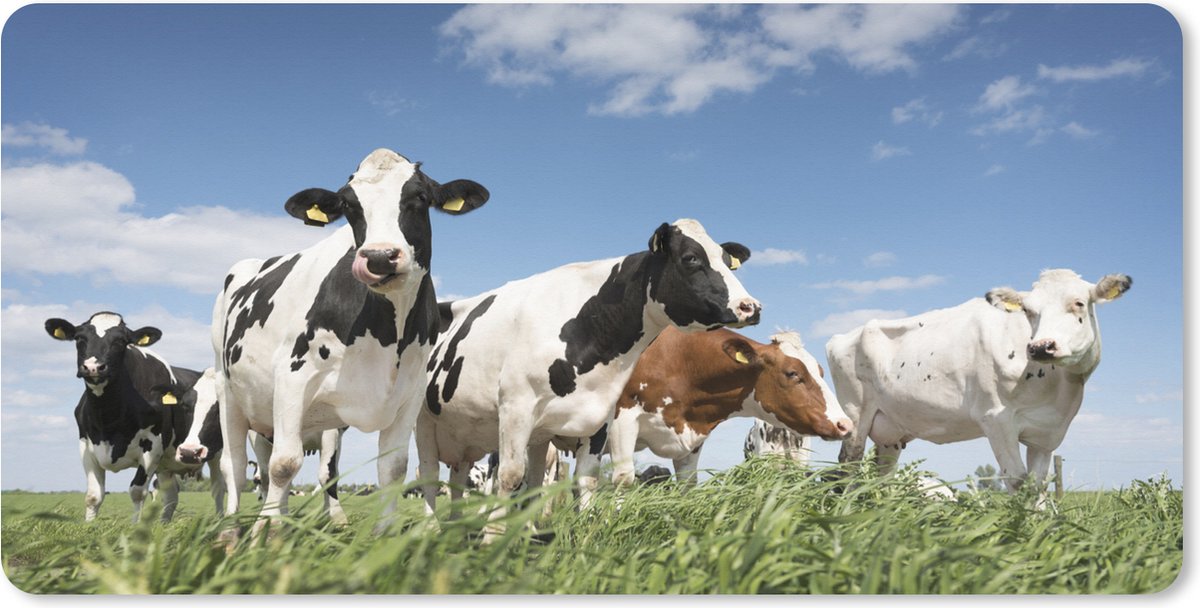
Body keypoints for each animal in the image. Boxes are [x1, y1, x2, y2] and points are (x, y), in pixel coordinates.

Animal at [45, 312, 224, 522]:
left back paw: (221, 521)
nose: (93, 367)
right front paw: (89, 526)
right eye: (80, 338)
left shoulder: (152, 448)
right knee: (171, 495)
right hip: (167, 465)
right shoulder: (86, 446)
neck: (108, 418)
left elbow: (137, 492)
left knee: (218, 489)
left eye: (121, 341)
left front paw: (135, 527)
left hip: (216, 453)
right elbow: (93, 496)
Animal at [212, 148, 490, 533]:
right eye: (348, 205)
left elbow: (393, 468)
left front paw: (385, 534)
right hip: (228, 391)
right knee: (236, 467)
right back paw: (231, 530)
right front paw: (263, 535)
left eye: (420, 197)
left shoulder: (409, 393)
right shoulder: (293, 377)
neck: (388, 335)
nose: (379, 257)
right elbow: (283, 465)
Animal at [417, 218, 761, 537]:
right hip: (424, 420)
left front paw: (583, 533)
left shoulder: (599, 417)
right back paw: (431, 529)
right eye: (691, 258)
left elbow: (585, 479)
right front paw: (492, 540)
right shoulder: (516, 407)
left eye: (726, 259)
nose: (751, 307)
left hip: (478, 434)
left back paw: (462, 528)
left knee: (467, 478)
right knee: (429, 474)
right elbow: (511, 476)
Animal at [827, 269, 1131, 496]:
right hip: (855, 414)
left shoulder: (1047, 433)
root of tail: (843, 335)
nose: (1041, 347)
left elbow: (1038, 485)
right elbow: (1017, 480)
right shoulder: (996, 418)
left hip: (890, 430)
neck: (1058, 387)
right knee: (849, 465)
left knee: (883, 474)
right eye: (1028, 310)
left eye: (1079, 303)